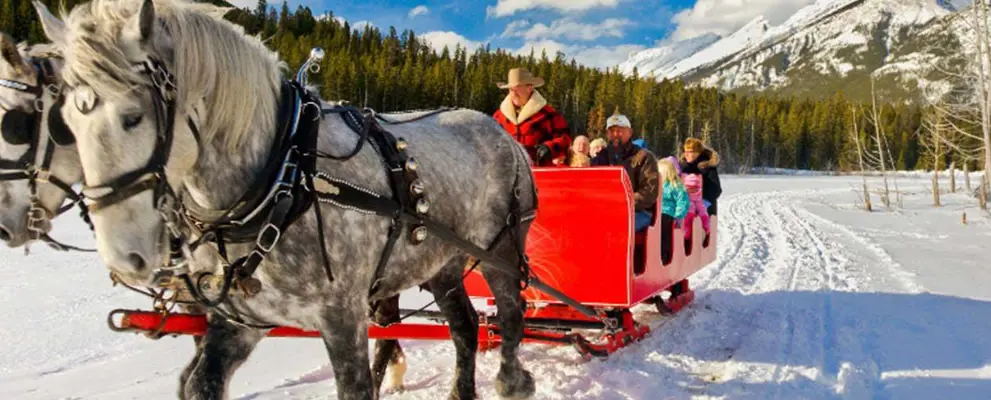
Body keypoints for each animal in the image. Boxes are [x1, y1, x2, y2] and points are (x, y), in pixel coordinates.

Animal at [35, 1, 538, 400]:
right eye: (63, 125)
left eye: (133, 117)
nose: (125, 256)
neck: (282, 175)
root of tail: (503, 135)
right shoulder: (239, 322)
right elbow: (199, 383)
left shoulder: (342, 316)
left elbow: (357, 385)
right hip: (443, 265)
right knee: (466, 329)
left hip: (500, 250)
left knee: (511, 317)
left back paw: (513, 381)